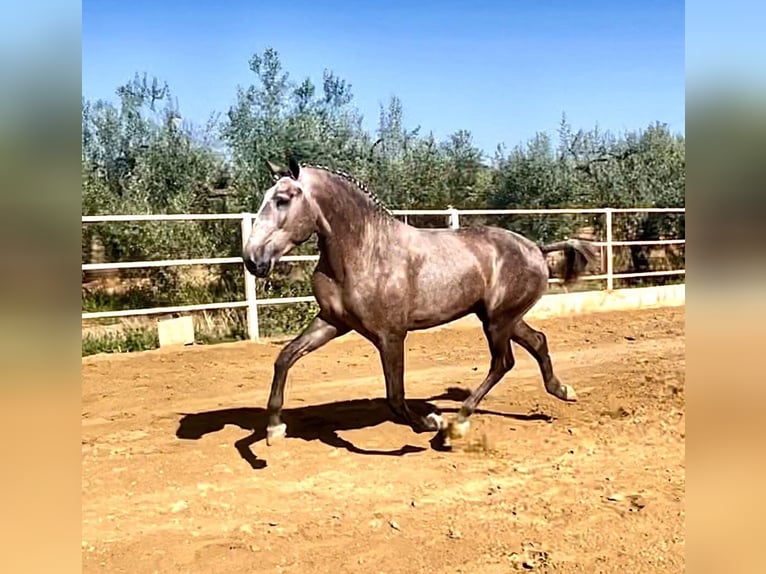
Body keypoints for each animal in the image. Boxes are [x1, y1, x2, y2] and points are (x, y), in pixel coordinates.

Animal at [242, 160, 600, 448]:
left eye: (282, 199)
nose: (253, 259)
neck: (364, 251)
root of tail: (536, 248)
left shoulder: (390, 335)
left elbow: (395, 396)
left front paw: (431, 422)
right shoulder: (332, 322)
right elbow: (285, 357)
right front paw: (274, 429)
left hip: (498, 321)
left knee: (502, 363)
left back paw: (455, 426)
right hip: (501, 318)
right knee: (537, 342)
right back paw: (563, 390)